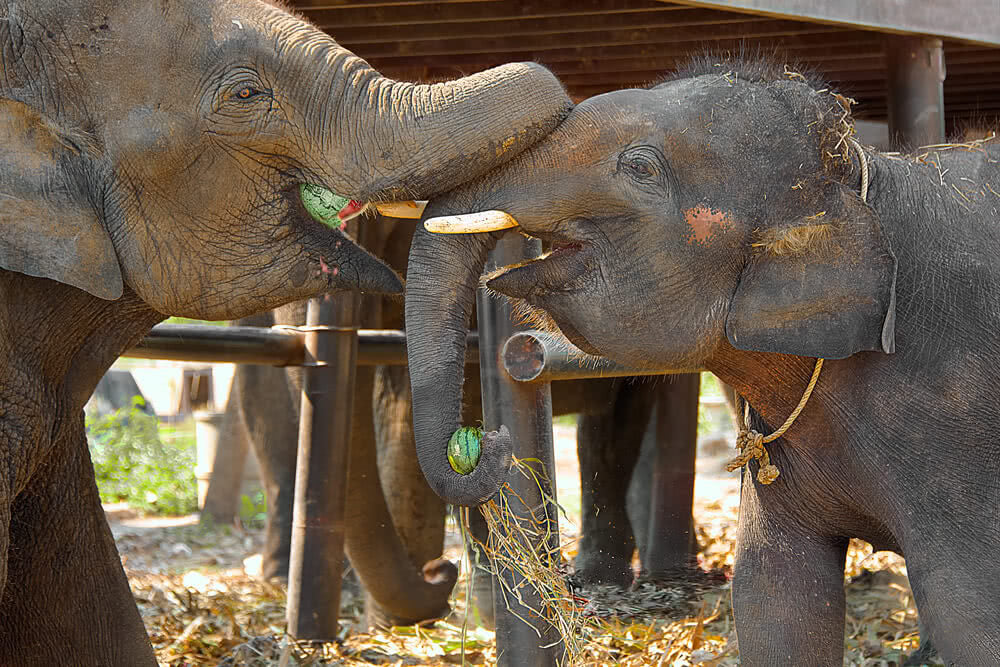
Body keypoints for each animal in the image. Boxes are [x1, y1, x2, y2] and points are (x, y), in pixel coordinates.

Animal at [400, 57, 1000, 667]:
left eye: (639, 166)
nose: (487, 442)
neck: (862, 171)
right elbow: (776, 603)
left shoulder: (956, 427)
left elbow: (971, 618)